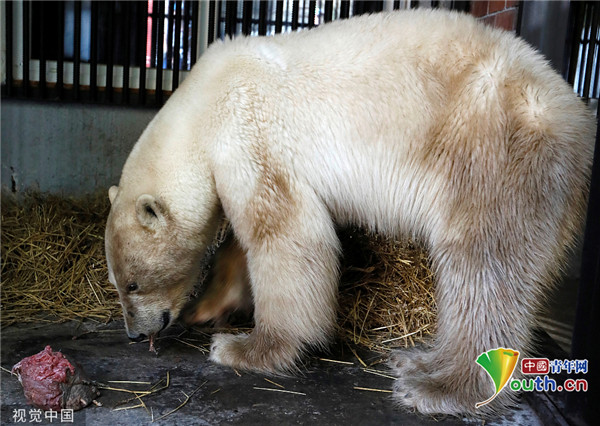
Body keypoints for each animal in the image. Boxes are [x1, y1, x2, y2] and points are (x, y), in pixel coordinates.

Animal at [104, 9, 596, 416]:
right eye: (116, 282)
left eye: (132, 283)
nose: (133, 334)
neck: (202, 104)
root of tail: (577, 120)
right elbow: (246, 247)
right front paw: (207, 307)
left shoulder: (248, 132)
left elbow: (285, 234)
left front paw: (246, 348)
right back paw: (416, 359)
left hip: (493, 154)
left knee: (482, 267)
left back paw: (438, 387)